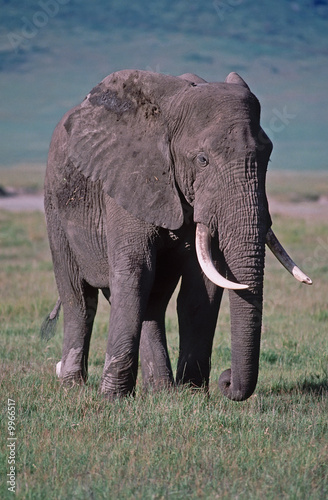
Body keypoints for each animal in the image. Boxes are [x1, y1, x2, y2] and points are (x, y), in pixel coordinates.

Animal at [44, 67, 312, 402]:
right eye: (202, 160)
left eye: (268, 158)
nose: (226, 380)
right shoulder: (129, 180)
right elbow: (136, 271)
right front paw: (113, 399)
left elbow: (202, 285)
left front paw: (192, 394)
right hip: (55, 205)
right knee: (79, 299)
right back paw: (73, 387)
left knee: (153, 301)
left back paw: (161, 389)